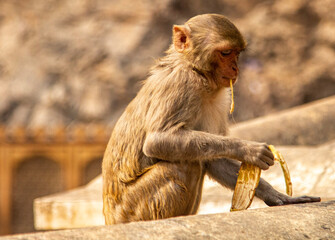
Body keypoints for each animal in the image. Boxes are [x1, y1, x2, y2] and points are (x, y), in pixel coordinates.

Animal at [101, 14, 320, 225]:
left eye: (237, 53)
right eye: (225, 53)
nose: (235, 68)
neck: (197, 72)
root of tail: (111, 218)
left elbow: (215, 160)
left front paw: (275, 195)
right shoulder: (181, 84)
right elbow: (158, 140)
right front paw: (248, 150)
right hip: (133, 209)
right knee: (182, 164)